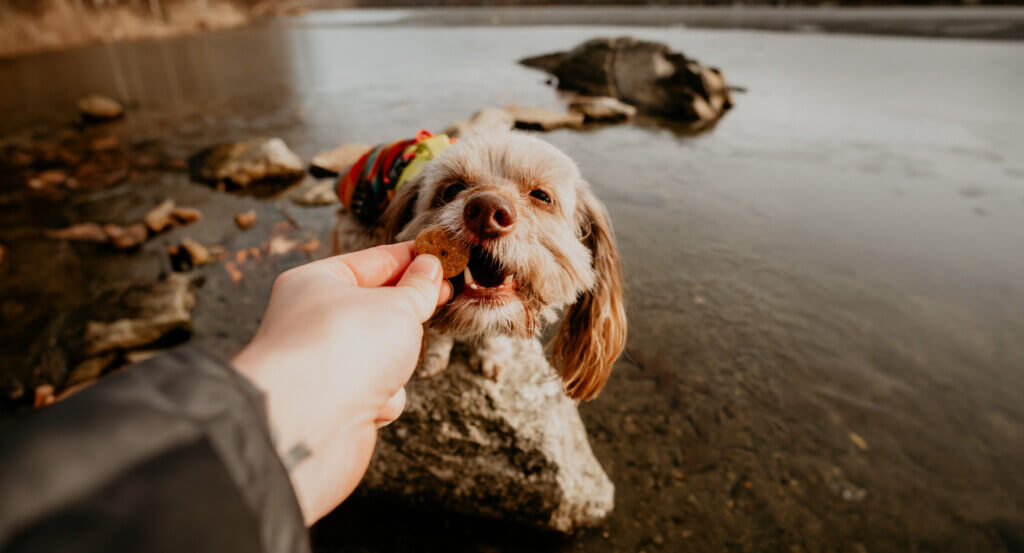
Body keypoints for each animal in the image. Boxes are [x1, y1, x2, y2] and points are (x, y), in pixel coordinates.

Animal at [333, 128, 622, 399]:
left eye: (541, 195)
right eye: (451, 189)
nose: (487, 211)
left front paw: (490, 355)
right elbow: (437, 332)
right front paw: (434, 358)